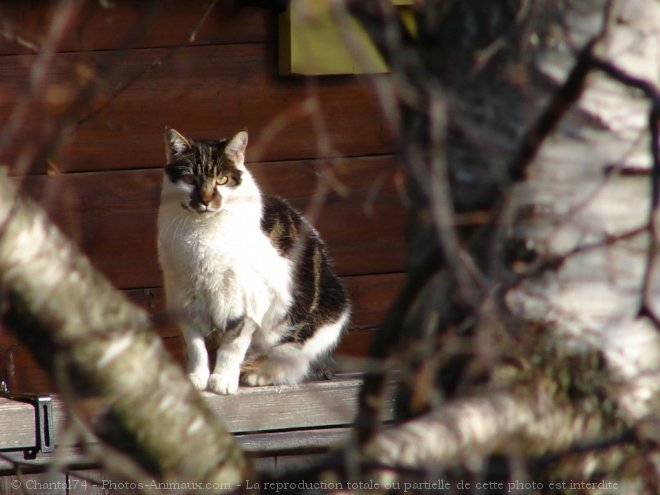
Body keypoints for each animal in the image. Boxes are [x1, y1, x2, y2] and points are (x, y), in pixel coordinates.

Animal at [157, 128, 350, 396]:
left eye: (222, 180)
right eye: (189, 179)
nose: (206, 200)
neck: (203, 231)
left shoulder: (248, 300)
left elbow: (233, 345)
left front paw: (223, 380)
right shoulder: (184, 297)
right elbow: (195, 345)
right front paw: (197, 378)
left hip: (323, 319)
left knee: (290, 360)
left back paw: (256, 374)